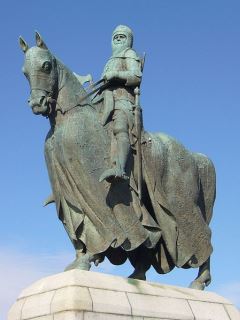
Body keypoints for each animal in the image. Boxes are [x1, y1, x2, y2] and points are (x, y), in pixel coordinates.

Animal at [19, 32, 217, 290]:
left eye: (46, 65)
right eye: (24, 71)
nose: (37, 103)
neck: (70, 116)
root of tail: (196, 156)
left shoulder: (96, 194)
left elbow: (104, 224)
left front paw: (89, 258)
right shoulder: (68, 196)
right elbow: (80, 228)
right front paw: (80, 260)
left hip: (181, 201)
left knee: (202, 234)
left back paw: (200, 280)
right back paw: (138, 274)